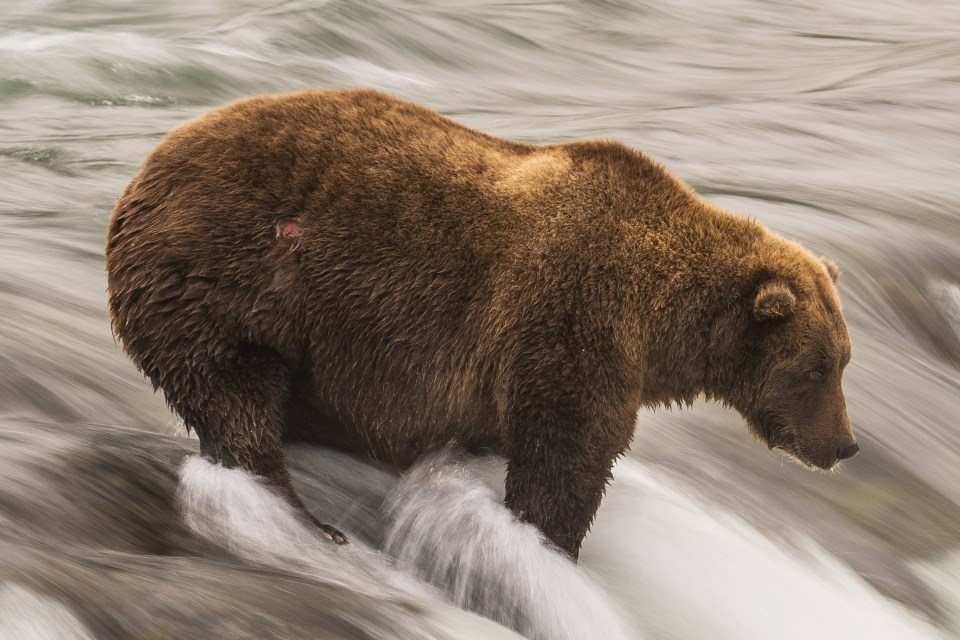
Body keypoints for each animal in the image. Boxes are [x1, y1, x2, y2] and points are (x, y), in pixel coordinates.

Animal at [105, 89, 856, 560]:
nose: (846, 445)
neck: (666, 322)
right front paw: (549, 547)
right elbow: (568, 451)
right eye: (816, 368)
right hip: (230, 272)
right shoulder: (575, 316)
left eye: (845, 361)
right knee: (237, 392)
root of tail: (143, 170)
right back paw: (308, 522)